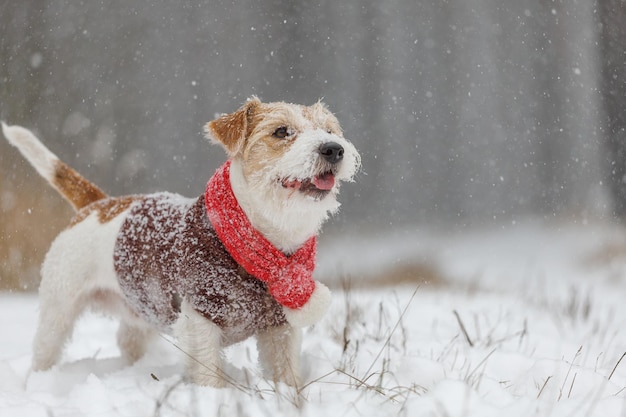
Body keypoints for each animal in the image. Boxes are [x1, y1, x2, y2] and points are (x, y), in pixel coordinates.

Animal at [1, 97, 360, 386]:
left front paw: (289, 399)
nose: (333, 148)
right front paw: (212, 397)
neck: (262, 239)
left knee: (127, 338)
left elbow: (287, 374)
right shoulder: (201, 318)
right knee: (46, 347)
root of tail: (99, 204)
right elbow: (208, 373)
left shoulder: (280, 325)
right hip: (59, 307)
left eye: (329, 129)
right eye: (282, 131)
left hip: (140, 306)